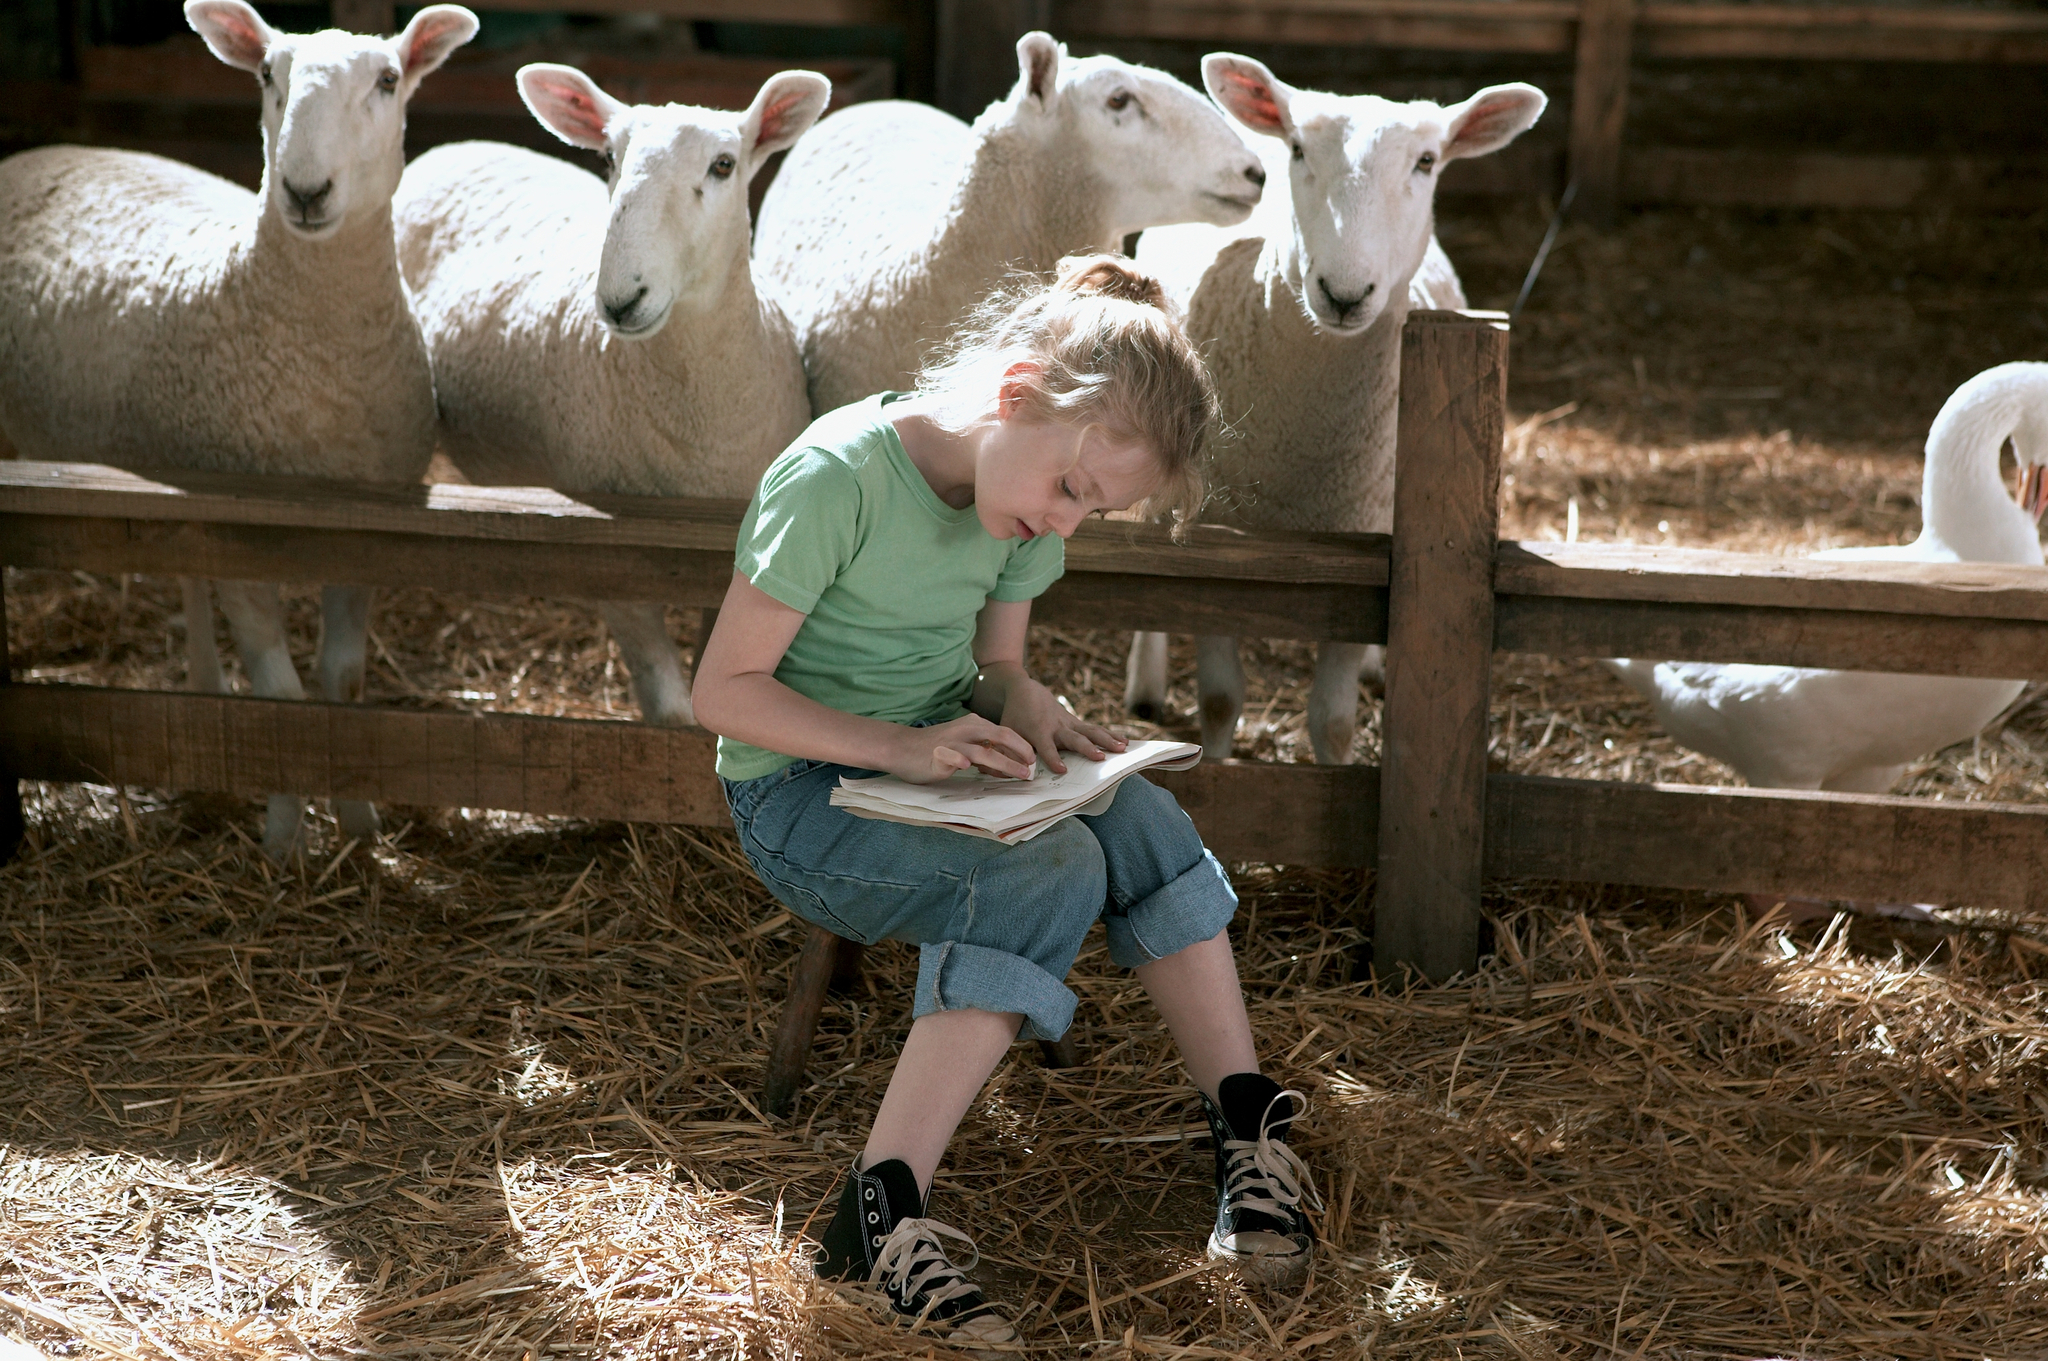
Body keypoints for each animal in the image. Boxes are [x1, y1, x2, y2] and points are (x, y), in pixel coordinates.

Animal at [0, 0, 477, 851]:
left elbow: (342, 680)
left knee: (188, 577)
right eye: (266, 75)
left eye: (389, 80)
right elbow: (280, 699)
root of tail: (33, 152)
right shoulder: (243, 533)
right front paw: (287, 840)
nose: (306, 189)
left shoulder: (367, 533)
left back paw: (202, 686)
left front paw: (359, 827)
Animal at [391, 66, 823, 720]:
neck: (698, 426)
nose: (621, 300)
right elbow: (673, 710)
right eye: (609, 157)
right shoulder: (612, 557)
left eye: (724, 164)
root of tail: (459, 146)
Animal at [1130, 55, 1540, 765]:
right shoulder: (1216, 543)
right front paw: (1217, 767)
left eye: (1427, 161)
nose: (1345, 294)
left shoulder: (1364, 547)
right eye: (1298, 149)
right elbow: (1221, 698)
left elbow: (1334, 720)